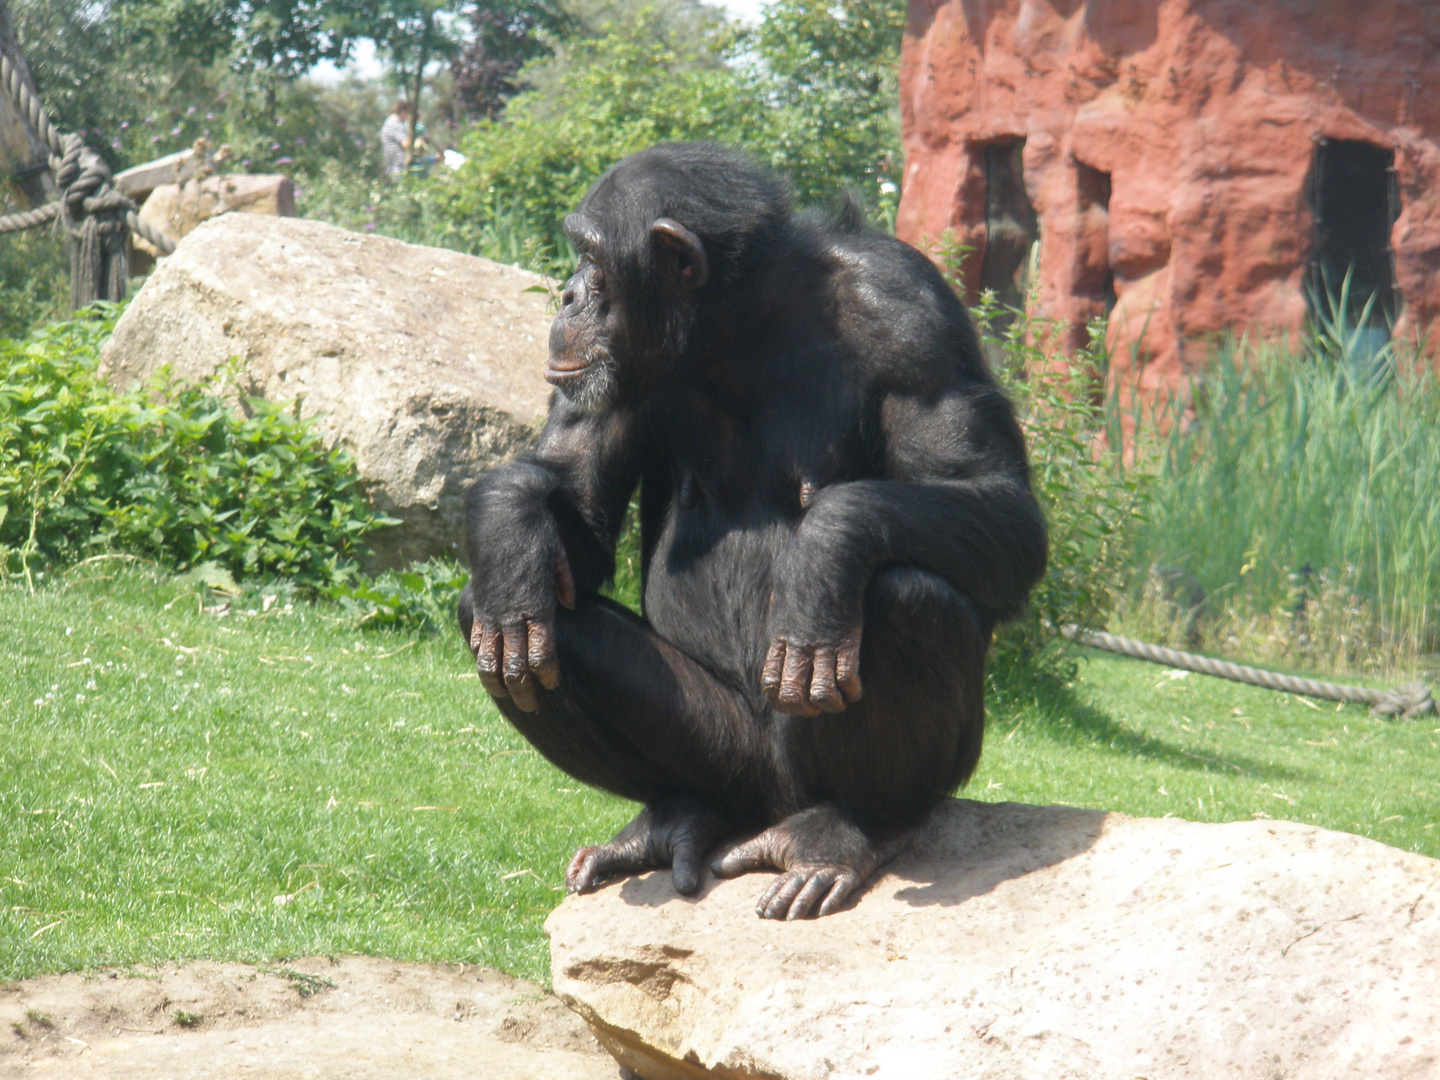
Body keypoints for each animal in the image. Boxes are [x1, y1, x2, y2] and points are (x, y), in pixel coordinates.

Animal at [460, 141, 1048, 921]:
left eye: (591, 257)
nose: (568, 293)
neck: (737, 329)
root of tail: (771, 810)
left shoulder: (912, 316)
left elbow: (1002, 507)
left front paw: (827, 549)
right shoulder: (602, 371)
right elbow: (575, 520)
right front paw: (510, 534)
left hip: (833, 771)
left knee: (906, 597)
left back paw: (850, 831)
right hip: (730, 751)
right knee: (514, 620)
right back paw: (674, 816)